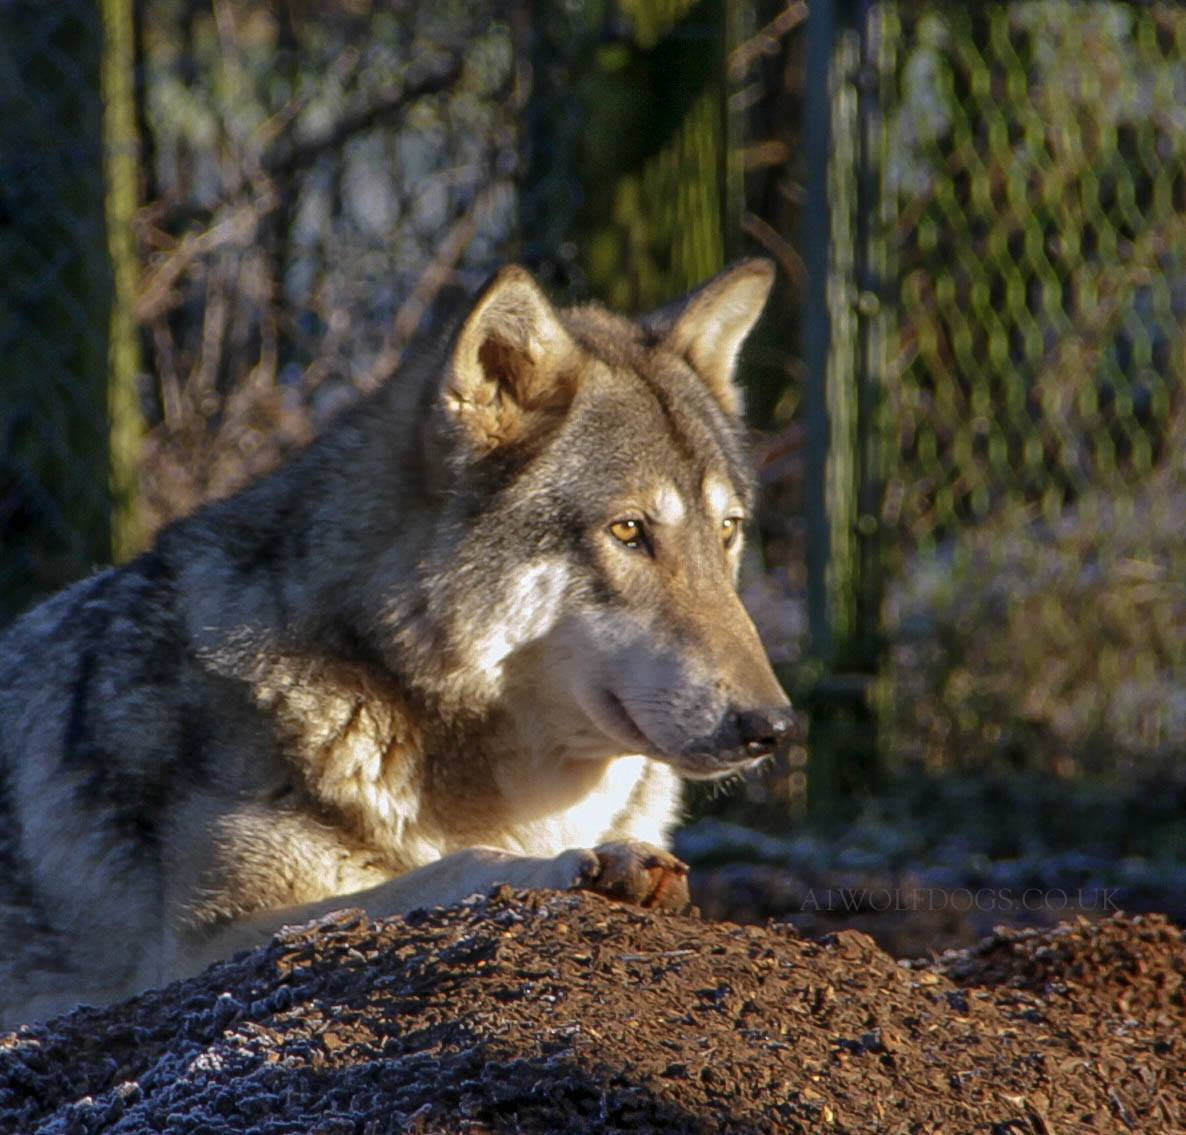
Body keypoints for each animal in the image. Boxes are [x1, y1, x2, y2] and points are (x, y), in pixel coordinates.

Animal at [0, 259, 794, 1027]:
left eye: (728, 530)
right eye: (629, 530)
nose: (773, 727)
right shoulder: (201, 946)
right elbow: (455, 866)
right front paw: (585, 862)